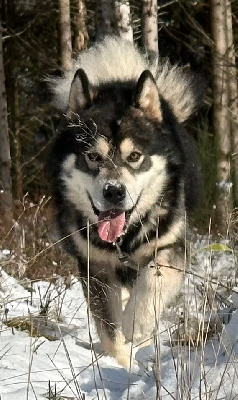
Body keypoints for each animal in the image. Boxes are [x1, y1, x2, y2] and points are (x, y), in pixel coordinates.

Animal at [48, 36, 201, 368]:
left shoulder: (170, 248)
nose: (114, 192)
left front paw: (136, 325)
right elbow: (108, 326)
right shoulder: (95, 267)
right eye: (93, 156)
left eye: (134, 156)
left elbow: (151, 284)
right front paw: (122, 363)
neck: (123, 241)